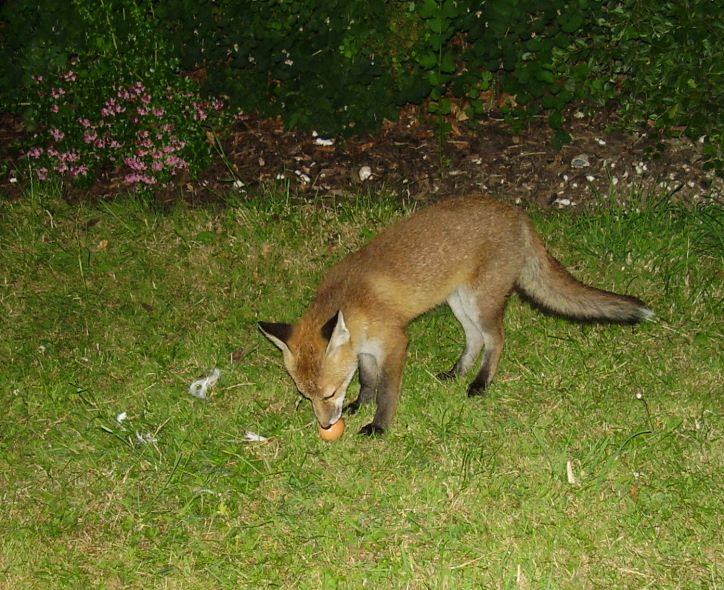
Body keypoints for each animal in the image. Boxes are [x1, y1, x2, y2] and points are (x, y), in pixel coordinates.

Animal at [259, 195, 653, 436]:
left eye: (328, 394)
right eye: (307, 396)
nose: (326, 426)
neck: (353, 300)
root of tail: (518, 214)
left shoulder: (395, 342)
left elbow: (386, 392)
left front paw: (379, 426)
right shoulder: (367, 349)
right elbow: (368, 381)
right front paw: (359, 405)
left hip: (481, 301)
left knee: (496, 339)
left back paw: (480, 382)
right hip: (458, 302)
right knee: (475, 338)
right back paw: (458, 371)